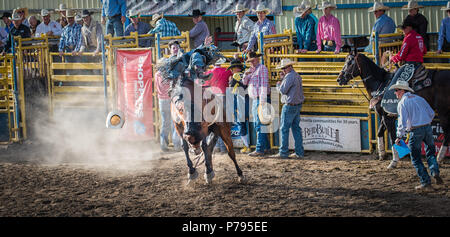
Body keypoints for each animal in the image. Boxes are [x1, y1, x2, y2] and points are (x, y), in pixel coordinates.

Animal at [156, 42, 244, 184]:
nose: (195, 150)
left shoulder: (203, 128)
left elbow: (204, 146)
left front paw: (204, 171)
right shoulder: (179, 127)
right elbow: (185, 146)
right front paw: (192, 171)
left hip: (223, 128)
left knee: (229, 151)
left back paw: (239, 174)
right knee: (209, 149)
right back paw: (209, 171)